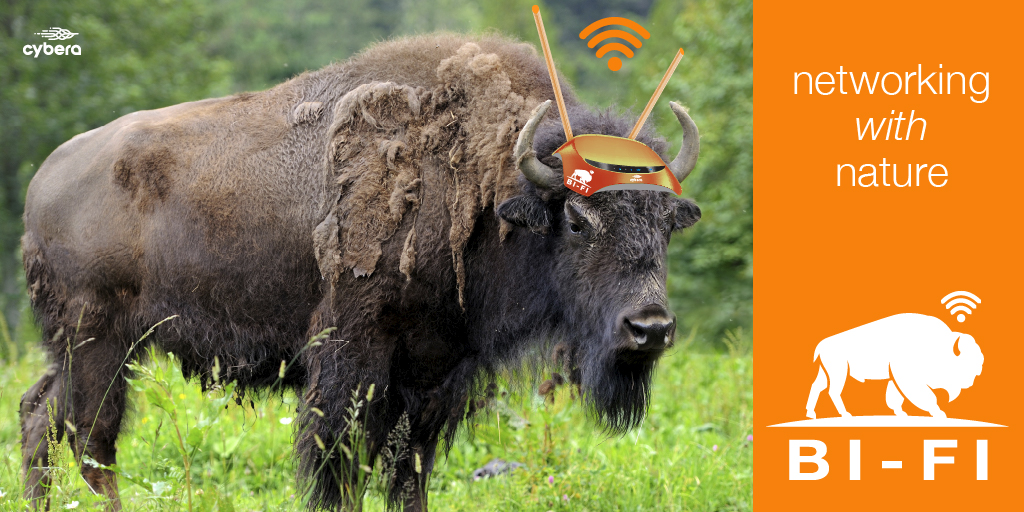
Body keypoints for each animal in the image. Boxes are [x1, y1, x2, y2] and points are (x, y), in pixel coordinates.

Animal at [19, 34, 702, 511]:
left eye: (669, 221)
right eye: (579, 220)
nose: (650, 329)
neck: (485, 186)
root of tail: (45, 176)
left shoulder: (433, 373)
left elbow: (409, 470)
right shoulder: (354, 356)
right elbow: (338, 464)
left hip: (87, 348)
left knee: (39, 417)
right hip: (100, 342)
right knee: (90, 438)